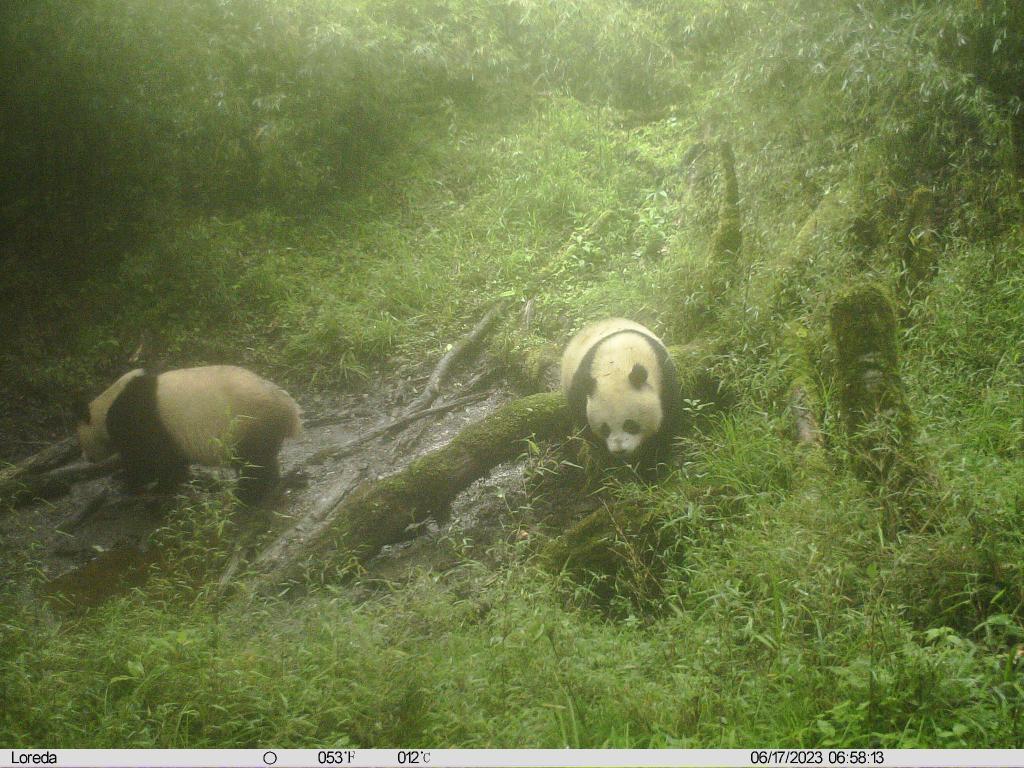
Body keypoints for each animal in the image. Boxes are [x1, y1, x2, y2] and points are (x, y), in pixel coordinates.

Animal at [76, 366, 301, 505]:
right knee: (263, 461)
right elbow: (173, 460)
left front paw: (138, 484)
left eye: (81, 443)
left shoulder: (139, 420)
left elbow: (152, 460)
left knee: (252, 464)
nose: (88, 458)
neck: (106, 404)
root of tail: (289, 410)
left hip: (245, 424)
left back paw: (246, 495)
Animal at [561, 317, 679, 468]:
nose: (619, 450)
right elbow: (586, 427)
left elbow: (667, 421)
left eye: (630, 425)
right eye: (605, 428)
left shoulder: (664, 374)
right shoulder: (580, 391)